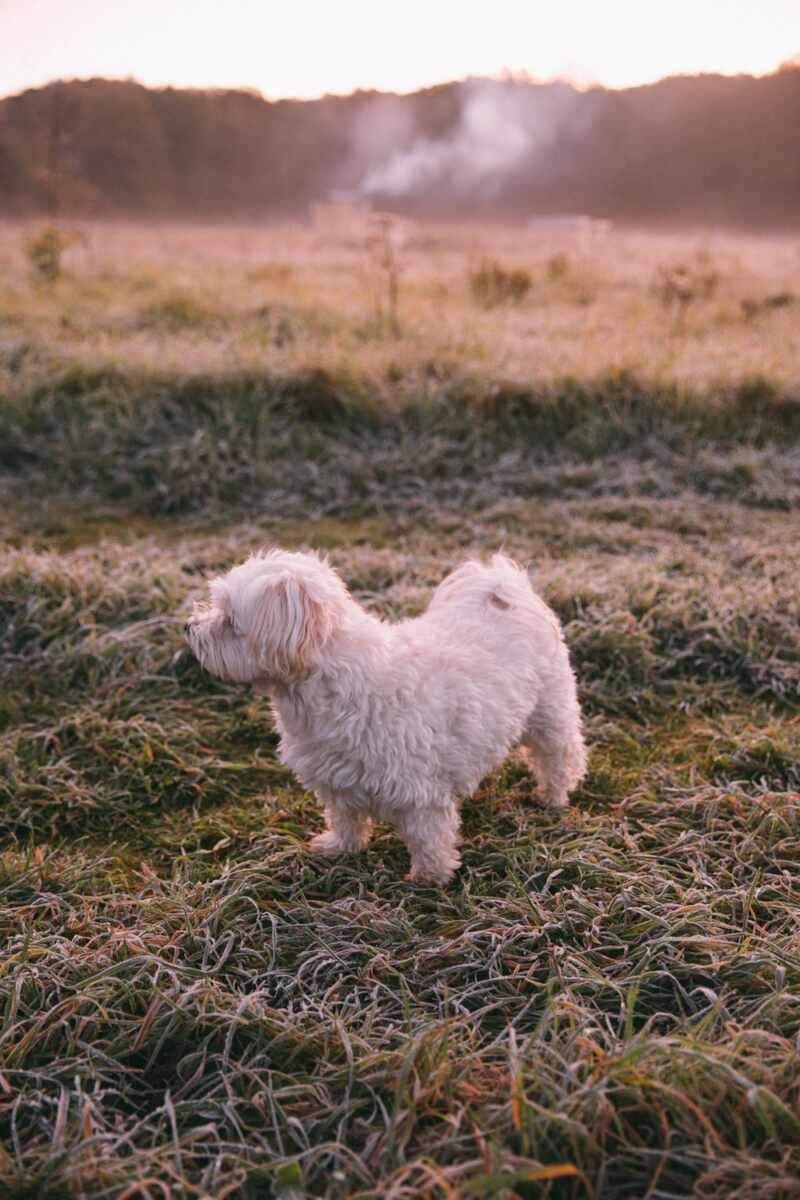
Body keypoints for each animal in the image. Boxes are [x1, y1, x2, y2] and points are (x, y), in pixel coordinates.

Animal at [188, 549, 587, 883]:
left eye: (228, 621)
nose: (188, 627)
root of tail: (502, 589)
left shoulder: (419, 792)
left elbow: (428, 838)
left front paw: (429, 879)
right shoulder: (336, 777)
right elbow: (345, 817)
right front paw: (340, 848)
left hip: (550, 712)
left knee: (559, 755)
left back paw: (552, 796)